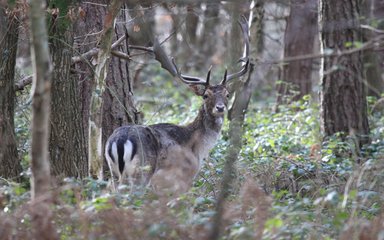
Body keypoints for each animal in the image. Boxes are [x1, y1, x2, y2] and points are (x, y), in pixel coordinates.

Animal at [104, 16, 249, 193]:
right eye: (205, 95)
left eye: (227, 94)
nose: (220, 108)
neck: (198, 148)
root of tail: (118, 141)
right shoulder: (184, 175)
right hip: (142, 171)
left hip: (113, 171)